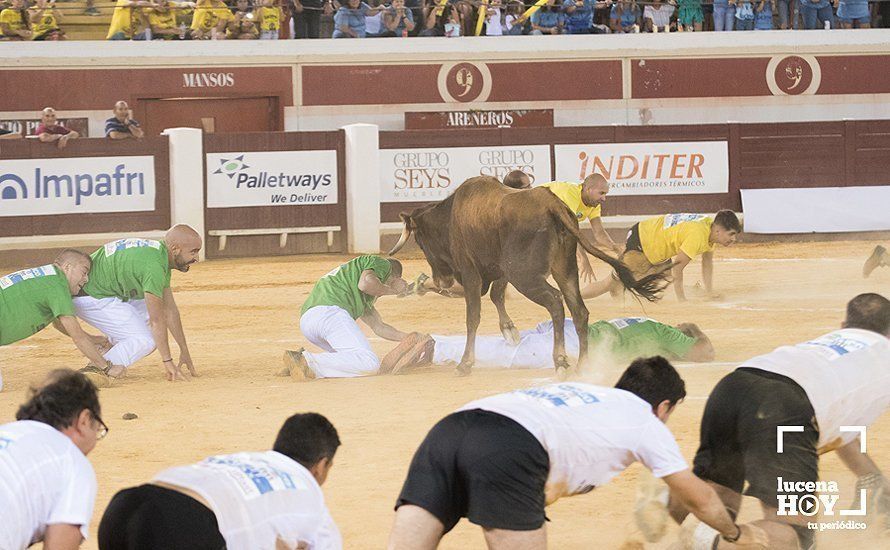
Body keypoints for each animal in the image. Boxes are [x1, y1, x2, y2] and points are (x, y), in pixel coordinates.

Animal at [388, 178, 664, 380]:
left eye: (420, 242)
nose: (441, 280)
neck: (452, 216)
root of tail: (553, 206)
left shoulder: (471, 273)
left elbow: (473, 316)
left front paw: (465, 363)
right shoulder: (500, 270)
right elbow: (496, 295)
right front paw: (509, 331)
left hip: (525, 276)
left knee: (555, 302)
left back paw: (560, 360)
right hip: (563, 269)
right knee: (578, 310)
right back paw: (583, 365)